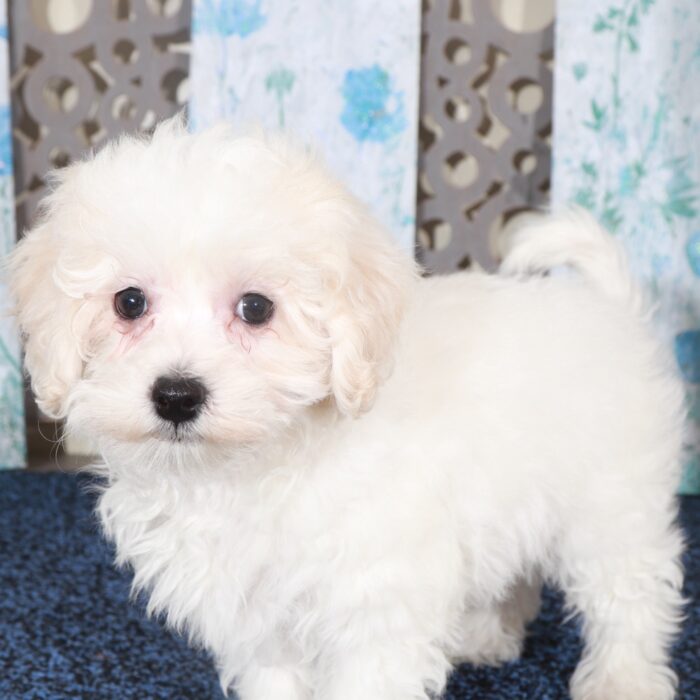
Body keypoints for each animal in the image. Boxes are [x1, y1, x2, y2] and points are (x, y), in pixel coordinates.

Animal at [9, 117, 684, 696]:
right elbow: (274, 678)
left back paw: (624, 681)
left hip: (612, 505)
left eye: (256, 308)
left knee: (630, 598)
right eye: (129, 302)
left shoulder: (376, 603)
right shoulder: (261, 620)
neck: (250, 470)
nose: (176, 395)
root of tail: (611, 306)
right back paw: (487, 636)